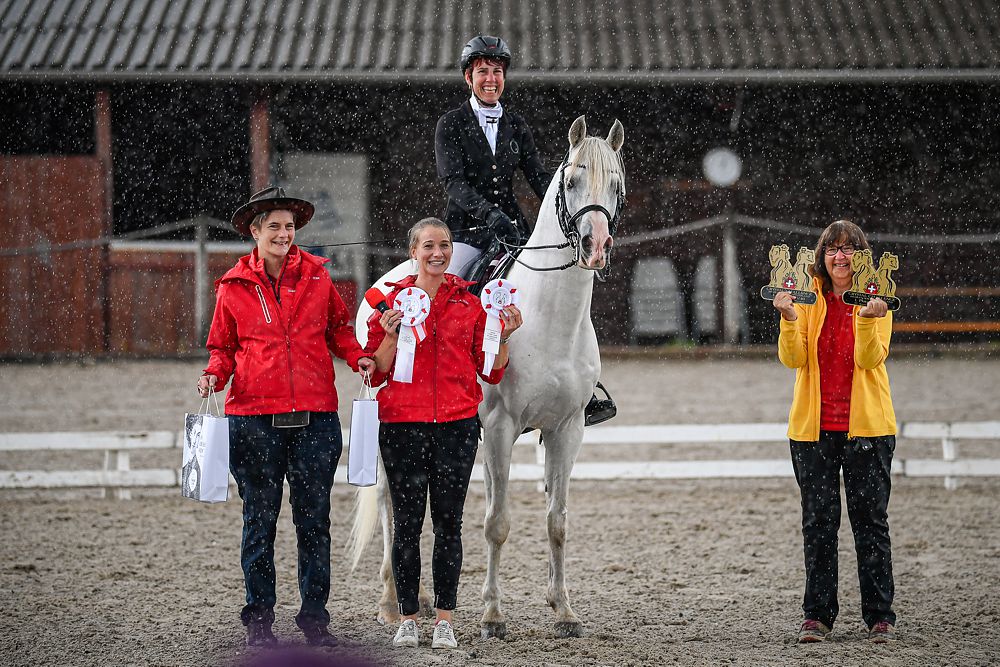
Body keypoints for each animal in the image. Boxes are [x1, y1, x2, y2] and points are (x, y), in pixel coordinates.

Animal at [348, 117, 620, 640]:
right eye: (572, 182)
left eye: (616, 185)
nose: (595, 247)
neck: (550, 316)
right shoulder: (500, 425)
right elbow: (497, 523)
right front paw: (493, 615)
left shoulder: (567, 429)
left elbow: (557, 522)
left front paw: (564, 610)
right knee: (393, 502)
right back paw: (393, 602)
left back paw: (424, 599)